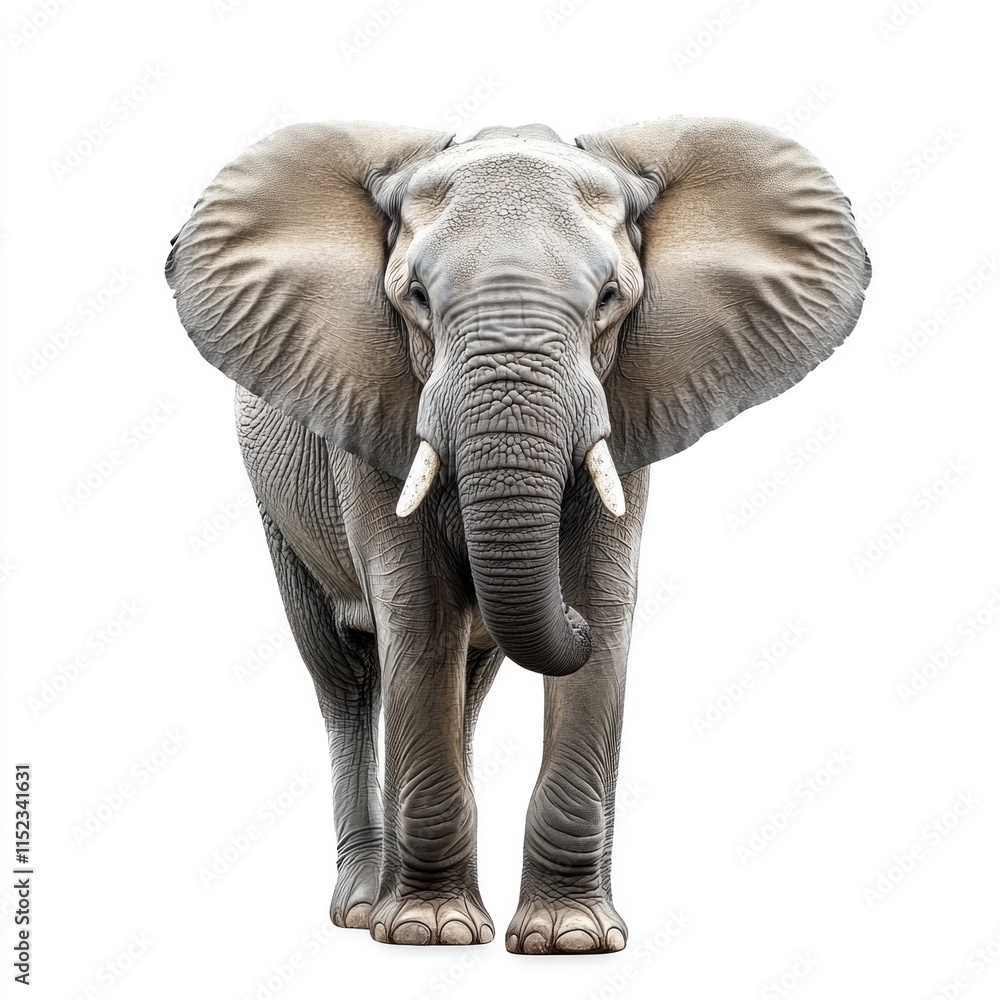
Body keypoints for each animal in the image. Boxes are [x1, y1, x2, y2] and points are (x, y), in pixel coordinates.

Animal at [165, 117, 870, 954]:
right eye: (416, 297)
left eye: (610, 299)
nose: (560, 614)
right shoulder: (369, 416)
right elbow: (418, 611)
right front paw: (429, 932)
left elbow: (603, 605)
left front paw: (570, 939)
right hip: (279, 514)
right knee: (345, 678)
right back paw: (367, 909)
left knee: (464, 683)